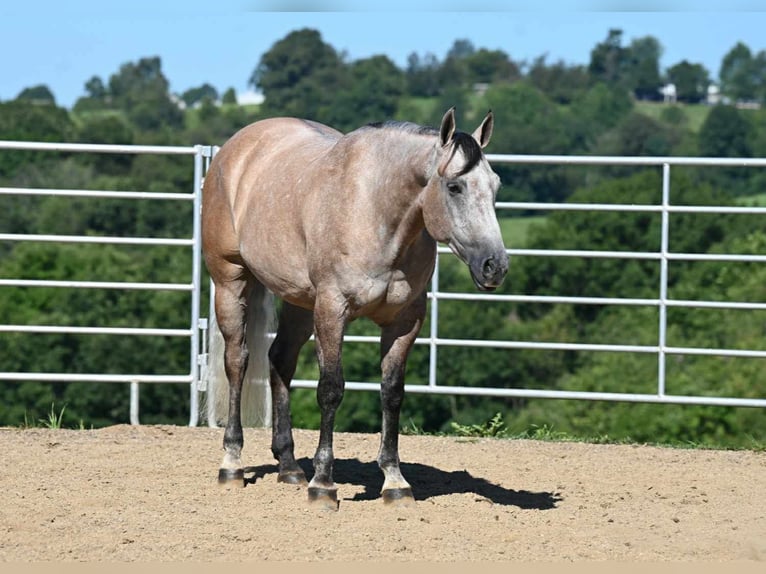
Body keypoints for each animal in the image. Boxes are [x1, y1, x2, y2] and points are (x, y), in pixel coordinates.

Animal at [202, 108, 510, 512]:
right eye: (455, 187)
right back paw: (231, 464)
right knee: (237, 361)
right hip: (231, 281)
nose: (495, 266)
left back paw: (289, 466)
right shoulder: (334, 310)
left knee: (280, 360)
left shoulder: (404, 321)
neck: (375, 211)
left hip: (300, 302)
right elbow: (331, 389)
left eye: (495, 185)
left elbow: (392, 392)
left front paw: (395, 481)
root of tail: (234, 149)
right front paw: (323, 485)